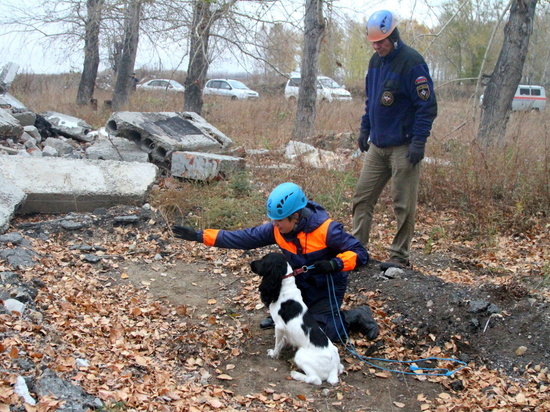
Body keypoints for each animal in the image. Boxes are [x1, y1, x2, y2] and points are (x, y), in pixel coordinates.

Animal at [251, 253, 344, 384]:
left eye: (264, 260)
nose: (250, 263)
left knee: (315, 379)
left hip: (300, 355)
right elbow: (281, 341)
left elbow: (277, 343)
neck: (284, 287)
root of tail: (333, 369)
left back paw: (295, 374)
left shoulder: (279, 326)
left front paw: (274, 354)